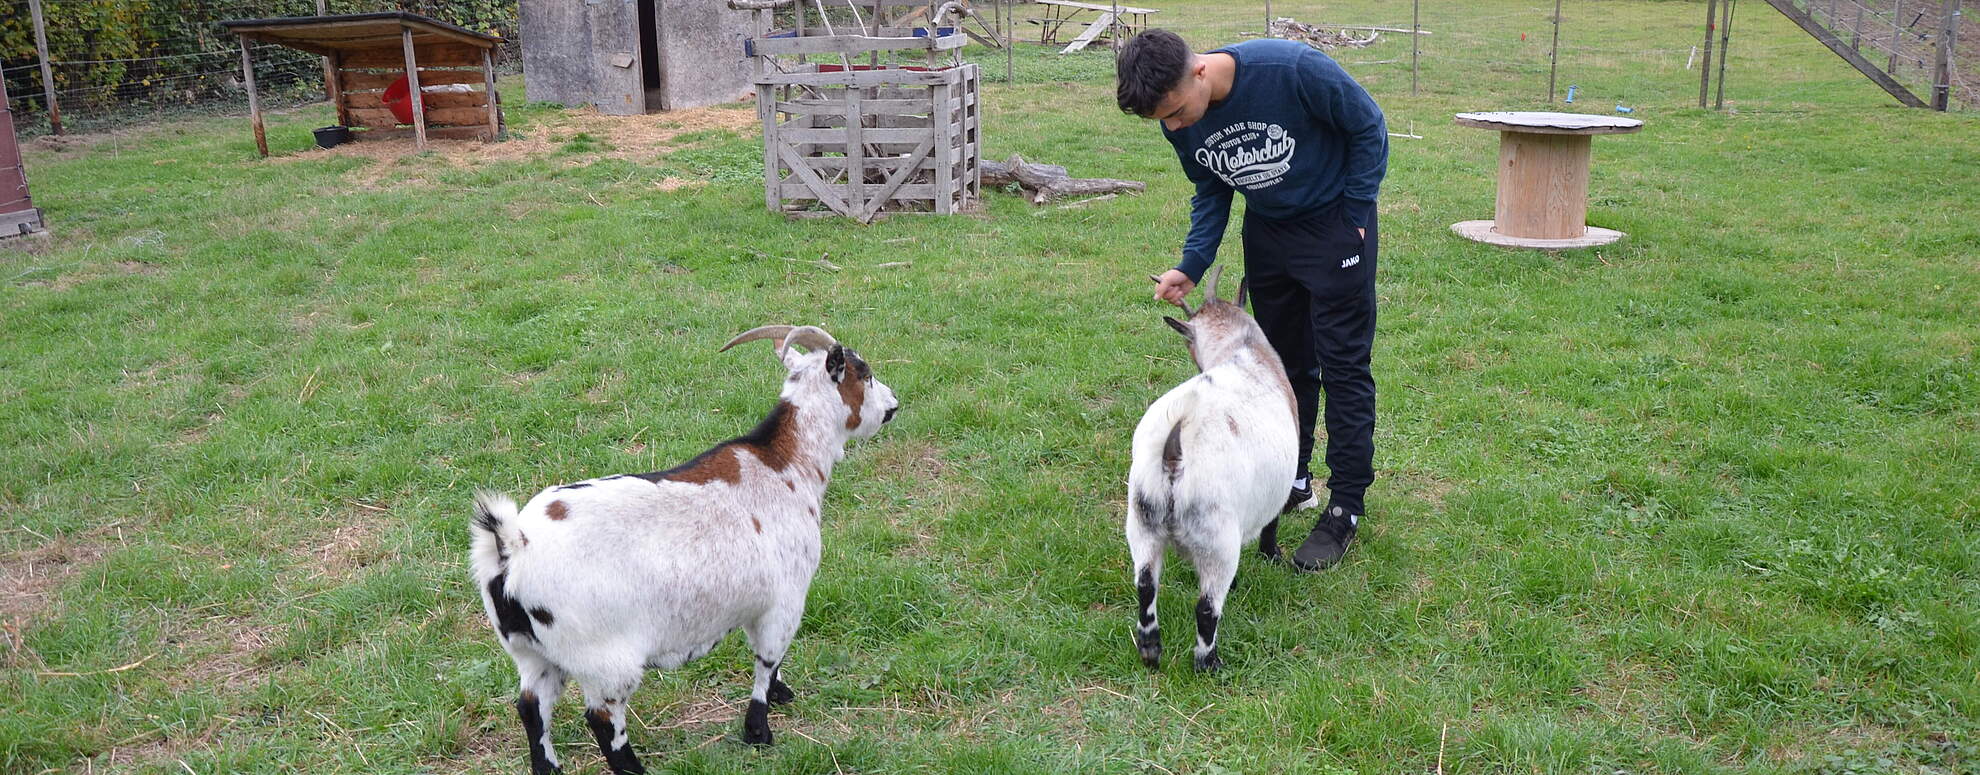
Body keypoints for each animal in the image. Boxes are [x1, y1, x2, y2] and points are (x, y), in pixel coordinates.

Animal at [463, 327, 898, 775]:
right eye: (864, 374)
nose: (892, 406)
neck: (784, 466)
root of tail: (513, 546)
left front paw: (781, 695)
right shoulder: (785, 599)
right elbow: (767, 659)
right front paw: (759, 730)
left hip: (531, 654)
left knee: (531, 708)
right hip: (604, 660)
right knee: (602, 719)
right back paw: (634, 769)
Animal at [1132, 267, 1298, 673]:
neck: (1241, 346)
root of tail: (1173, 453)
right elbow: (1271, 521)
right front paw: (1272, 556)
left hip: (1142, 519)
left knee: (1145, 584)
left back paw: (1150, 651)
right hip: (1216, 535)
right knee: (1207, 607)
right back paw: (1210, 665)